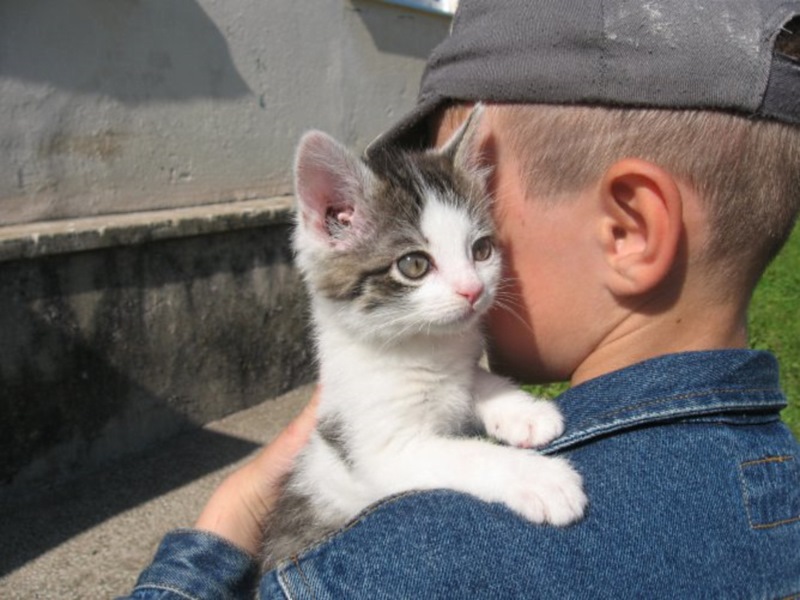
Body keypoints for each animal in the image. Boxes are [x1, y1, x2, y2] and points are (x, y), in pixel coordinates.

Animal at [262, 109, 588, 572]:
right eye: (414, 264)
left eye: (482, 250)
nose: (473, 290)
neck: (422, 347)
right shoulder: (383, 450)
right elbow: (465, 453)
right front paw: (540, 478)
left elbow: (471, 378)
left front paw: (522, 411)